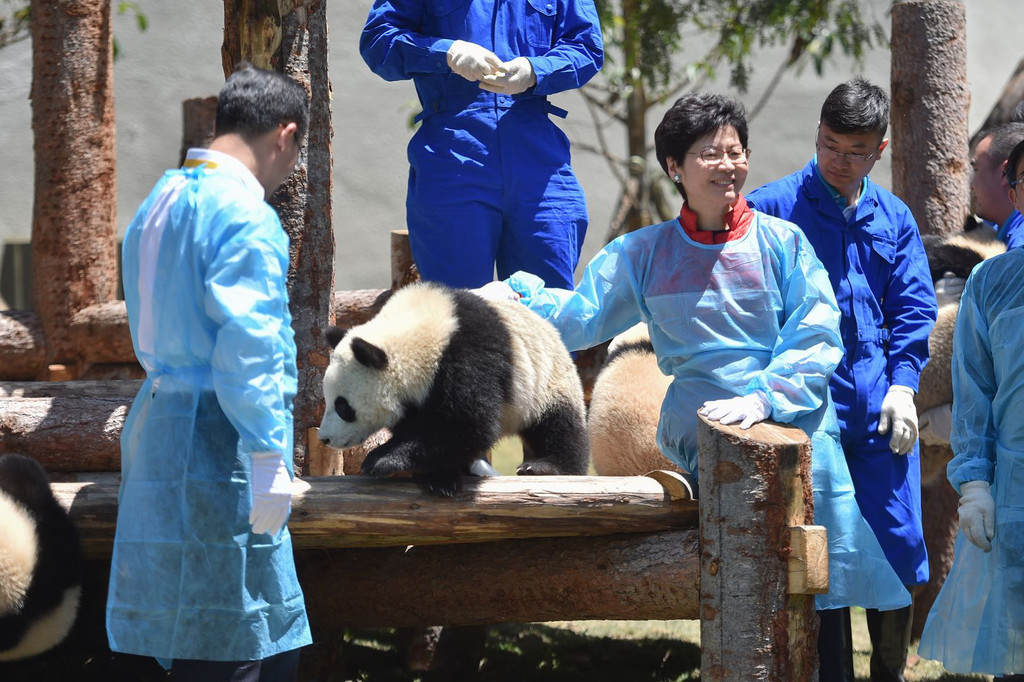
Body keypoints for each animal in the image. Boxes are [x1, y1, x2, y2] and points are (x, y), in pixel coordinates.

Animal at [318, 282, 589, 496]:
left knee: (559, 425)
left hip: (546, 380)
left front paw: (382, 460)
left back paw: (546, 466)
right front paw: (438, 476)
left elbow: (467, 424)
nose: (325, 438)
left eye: (343, 407)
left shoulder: (468, 357)